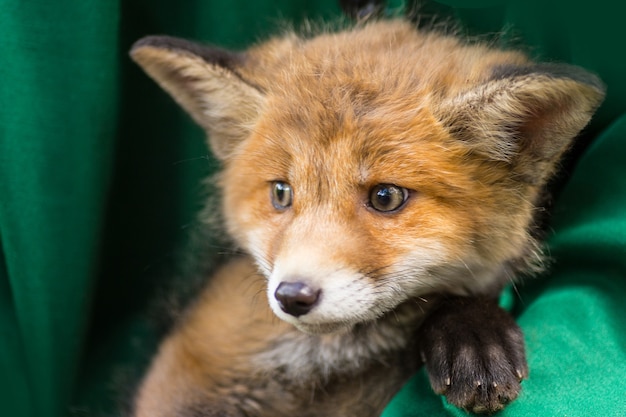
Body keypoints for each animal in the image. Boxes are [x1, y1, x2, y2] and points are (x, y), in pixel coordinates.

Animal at [129, 17, 604, 416]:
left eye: (386, 197)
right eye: (281, 193)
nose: (292, 296)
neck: (325, 362)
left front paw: (471, 331)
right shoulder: (180, 381)